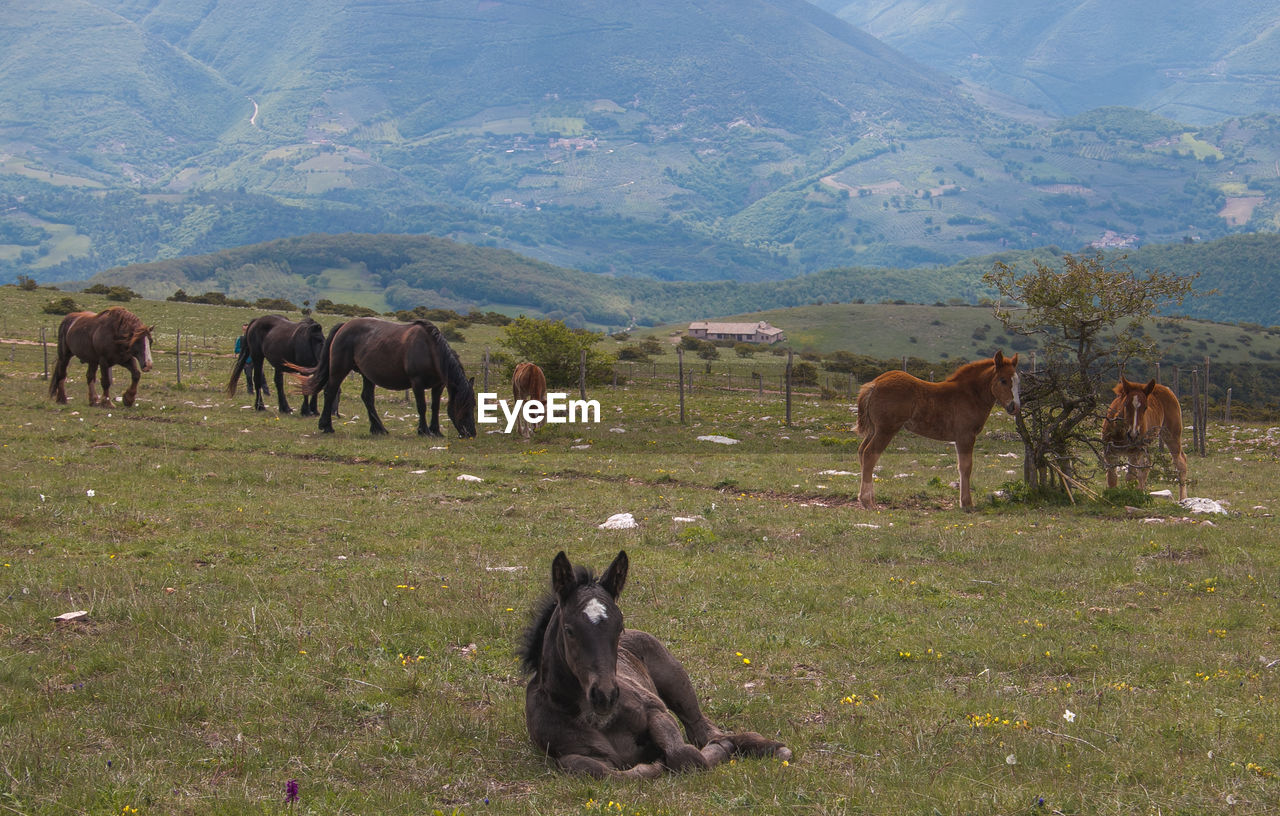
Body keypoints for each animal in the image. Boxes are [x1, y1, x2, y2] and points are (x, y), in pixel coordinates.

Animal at [295, 317, 476, 437]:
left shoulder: (438, 385)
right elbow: (422, 406)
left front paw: (436, 431)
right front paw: (424, 431)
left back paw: (378, 428)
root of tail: (343, 326)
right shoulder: (417, 383)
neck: (430, 350)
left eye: (473, 405)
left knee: (367, 397)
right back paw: (327, 426)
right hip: (339, 369)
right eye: (463, 405)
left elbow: (436, 407)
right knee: (330, 391)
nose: (471, 433)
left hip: (367, 375)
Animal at [519, 549, 788, 777]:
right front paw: (655, 764)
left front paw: (719, 749)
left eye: (619, 627)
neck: (597, 718)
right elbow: (608, 773)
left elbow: (688, 756)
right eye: (569, 630)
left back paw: (769, 747)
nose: (605, 695)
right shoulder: (569, 755)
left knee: (704, 729)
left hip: (676, 682)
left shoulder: (655, 711)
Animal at [855, 353, 1024, 511]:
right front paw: (966, 503)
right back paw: (867, 502)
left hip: (874, 429)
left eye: (1017, 381)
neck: (970, 395)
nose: (1015, 407)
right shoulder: (966, 436)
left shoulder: (959, 438)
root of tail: (874, 383)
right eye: (1003, 380)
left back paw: (870, 500)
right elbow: (966, 467)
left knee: (862, 452)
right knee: (869, 454)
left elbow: (961, 466)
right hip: (886, 429)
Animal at [1100, 378, 1187, 506]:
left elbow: (1130, 477)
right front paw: (1111, 498)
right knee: (1146, 466)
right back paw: (1140, 492)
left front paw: (1127, 499)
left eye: (1145, 407)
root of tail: (1166, 389)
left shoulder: (1134, 453)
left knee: (1180, 462)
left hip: (1171, 434)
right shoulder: (1109, 452)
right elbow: (1112, 476)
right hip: (1146, 445)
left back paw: (1183, 499)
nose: (1133, 434)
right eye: (1126, 405)